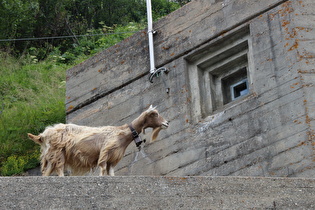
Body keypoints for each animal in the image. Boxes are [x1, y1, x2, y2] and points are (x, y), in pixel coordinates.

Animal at [28, 106, 169, 176]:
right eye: (154, 114)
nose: (167, 123)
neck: (122, 133)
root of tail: (44, 134)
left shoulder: (113, 159)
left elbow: (111, 173)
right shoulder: (105, 154)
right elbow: (102, 170)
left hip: (52, 156)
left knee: (47, 172)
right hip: (58, 153)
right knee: (59, 169)